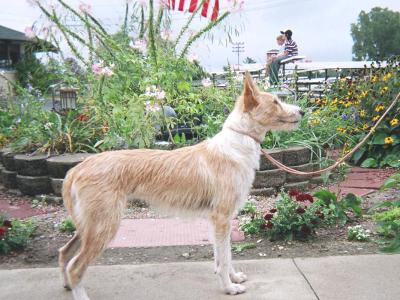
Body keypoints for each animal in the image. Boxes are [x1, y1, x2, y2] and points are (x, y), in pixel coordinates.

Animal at [58, 71, 304, 298]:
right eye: (275, 102)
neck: (237, 144)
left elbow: (223, 255)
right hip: (104, 225)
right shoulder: (222, 218)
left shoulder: (217, 221)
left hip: (89, 225)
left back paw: (67, 285)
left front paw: (233, 277)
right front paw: (229, 287)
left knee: (64, 253)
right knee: (76, 267)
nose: (302, 111)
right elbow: (225, 258)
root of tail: (76, 170)